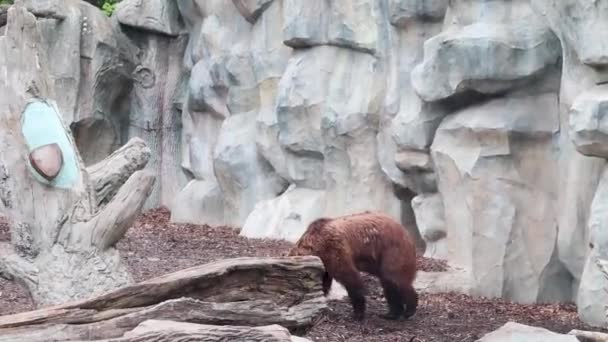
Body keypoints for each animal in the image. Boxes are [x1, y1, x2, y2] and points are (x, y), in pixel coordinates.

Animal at [288, 211, 416, 320]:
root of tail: (405, 232)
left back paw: (409, 310)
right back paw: (392, 313)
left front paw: (357, 313)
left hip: (392, 251)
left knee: (395, 279)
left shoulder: (333, 250)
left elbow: (350, 279)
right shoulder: (325, 266)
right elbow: (324, 284)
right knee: (389, 284)